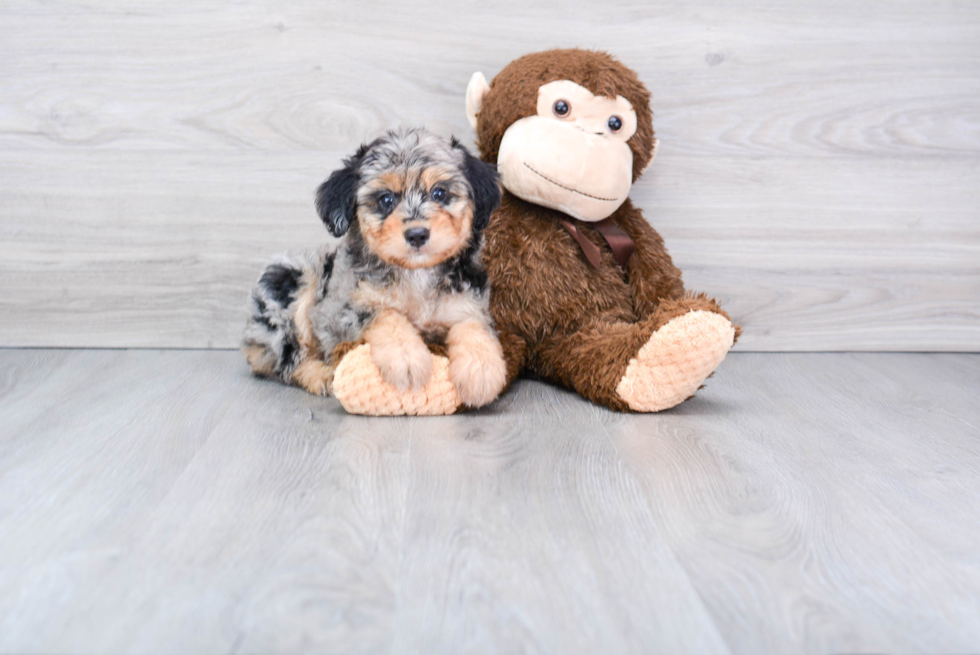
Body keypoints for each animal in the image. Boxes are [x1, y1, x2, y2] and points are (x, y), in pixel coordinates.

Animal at [243, 126, 506, 408]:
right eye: (385, 199)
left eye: (439, 193)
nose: (417, 234)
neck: (415, 274)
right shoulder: (340, 311)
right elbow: (384, 314)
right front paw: (407, 358)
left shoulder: (468, 302)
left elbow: (473, 325)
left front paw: (481, 371)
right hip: (291, 279)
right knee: (286, 359)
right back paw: (321, 374)